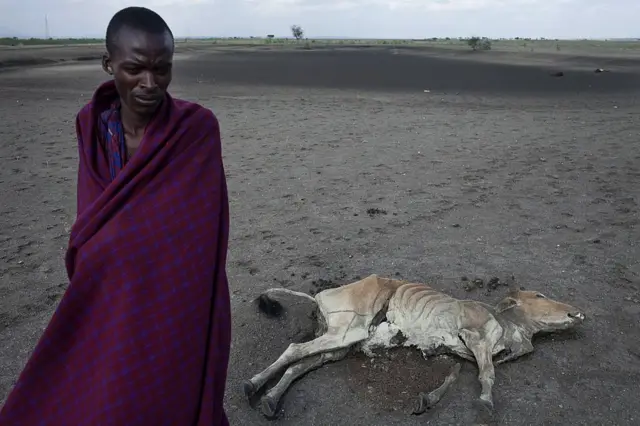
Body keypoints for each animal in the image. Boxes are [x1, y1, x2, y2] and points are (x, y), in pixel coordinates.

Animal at [243, 274, 585, 421]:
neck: (509, 325)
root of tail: (319, 296)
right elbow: (487, 375)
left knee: (299, 363)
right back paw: (252, 386)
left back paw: (269, 399)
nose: (576, 312)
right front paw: (486, 403)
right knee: (293, 350)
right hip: (347, 331)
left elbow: (456, 374)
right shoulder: (475, 338)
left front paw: (426, 400)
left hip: (341, 345)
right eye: (539, 296)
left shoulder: (464, 352)